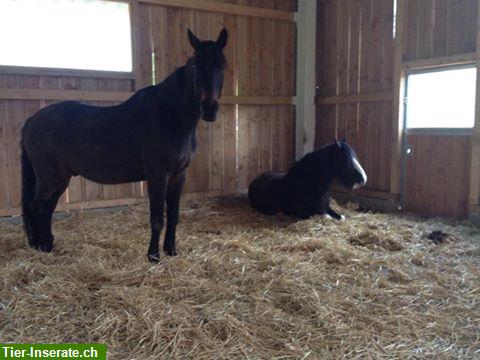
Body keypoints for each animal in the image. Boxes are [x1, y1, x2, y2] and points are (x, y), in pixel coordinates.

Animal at [23, 28, 230, 262]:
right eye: (195, 65)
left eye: (223, 65)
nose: (209, 109)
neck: (169, 116)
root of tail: (32, 121)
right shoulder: (158, 176)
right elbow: (157, 218)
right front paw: (153, 256)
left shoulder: (178, 176)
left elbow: (174, 216)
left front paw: (171, 251)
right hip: (50, 178)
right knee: (36, 205)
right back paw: (38, 245)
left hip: (61, 178)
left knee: (46, 207)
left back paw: (47, 244)